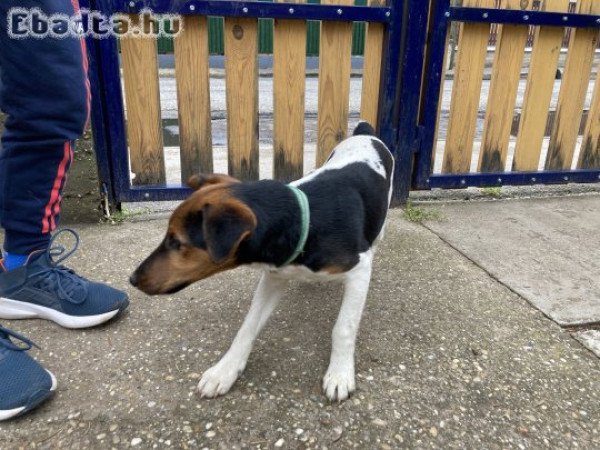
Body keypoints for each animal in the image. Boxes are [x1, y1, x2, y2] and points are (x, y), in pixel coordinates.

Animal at [130, 121, 394, 402]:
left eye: (177, 242)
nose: (132, 279)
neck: (305, 220)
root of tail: (364, 133)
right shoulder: (274, 277)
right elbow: (247, 327)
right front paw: (225, 370)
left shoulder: (359, 270)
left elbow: (344, 327)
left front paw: (340, 374)